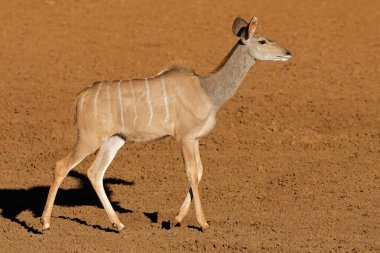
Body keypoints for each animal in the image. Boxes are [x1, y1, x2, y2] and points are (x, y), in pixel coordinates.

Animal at [40, 16, 290, 232]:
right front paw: (202, 223)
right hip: (89, 138)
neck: (207, 91)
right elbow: (191, 172)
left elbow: (199, 171)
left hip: (114, 140)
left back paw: (118, 224)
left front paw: (174, 220)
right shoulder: (184, 137)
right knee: (61, 165)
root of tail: (80, 99)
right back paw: (45, 223)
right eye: (262, 40)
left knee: (95, 172)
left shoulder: (194, 138)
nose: (288, 52)